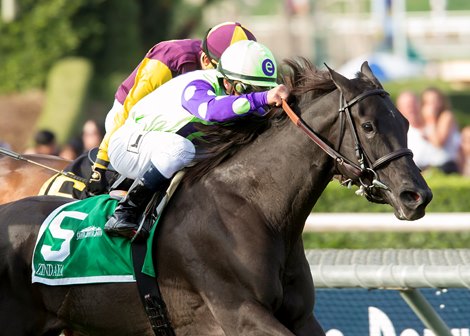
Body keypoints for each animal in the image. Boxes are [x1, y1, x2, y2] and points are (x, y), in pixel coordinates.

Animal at [0, 61, 432, 336]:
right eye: (369, 126)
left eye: (406, 121)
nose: (418, 195)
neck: (254, 207)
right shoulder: (238, 315)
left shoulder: (301, 317)